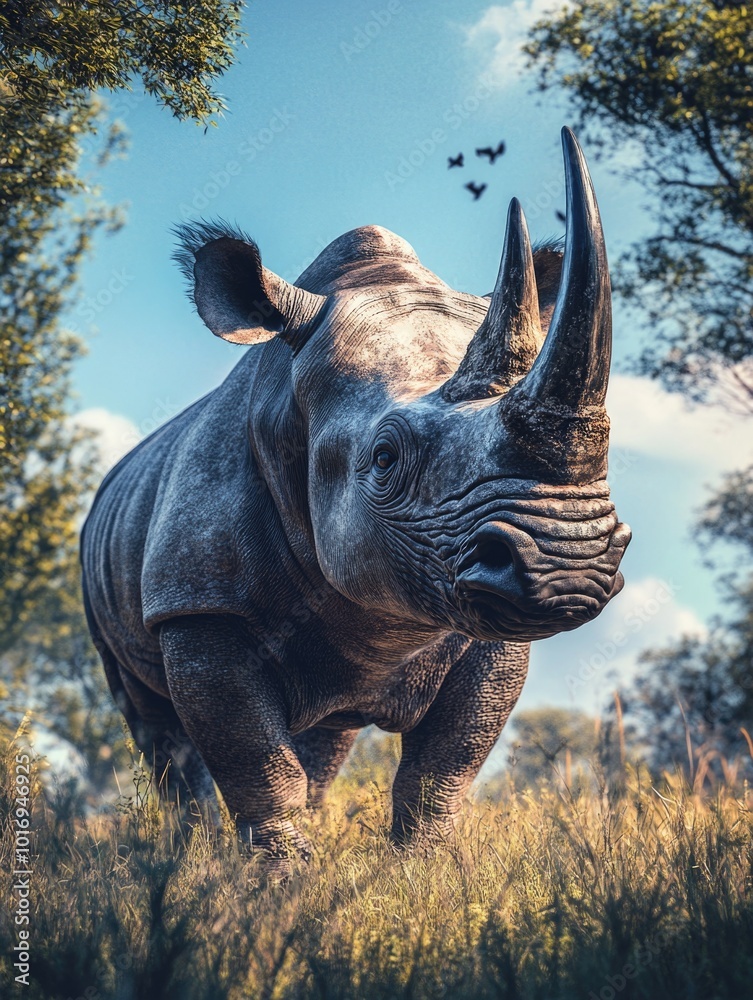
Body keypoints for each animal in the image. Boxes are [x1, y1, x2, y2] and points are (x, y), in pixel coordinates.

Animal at [81, 129, 630, 859]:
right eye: (384, 457)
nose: (569, 566)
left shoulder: (493, 629)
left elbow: (443, 769)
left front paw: (423, 874)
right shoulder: (198, 602)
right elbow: (255, 765)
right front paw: (275, 881)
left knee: (326, 731)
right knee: (156, 729)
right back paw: (187, 854)